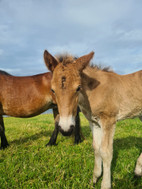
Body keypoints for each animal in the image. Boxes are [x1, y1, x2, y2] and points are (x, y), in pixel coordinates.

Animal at [43, 49, 142, 189]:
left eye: (78, 88)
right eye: (52, 89)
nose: (66, 129)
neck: (95, 92)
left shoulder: (109, 120)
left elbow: (106, 151)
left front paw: (105, 184)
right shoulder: (94, 123)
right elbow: (96, 147)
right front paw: (95, 178)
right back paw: (138, 170)